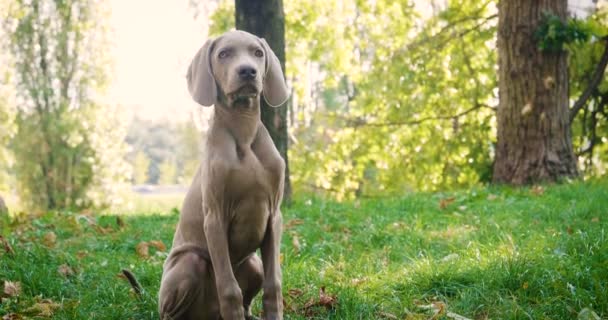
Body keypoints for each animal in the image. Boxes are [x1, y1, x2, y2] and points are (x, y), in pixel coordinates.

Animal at [158, 30, 288, 320]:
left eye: (258, 53)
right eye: (224, 54)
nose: (248, 71)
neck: (243, 129)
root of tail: (209, 314)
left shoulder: (274, 216)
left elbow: (273, 284)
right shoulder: (215, 217)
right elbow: (229, 289)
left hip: (253, 263)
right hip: (188, 263)